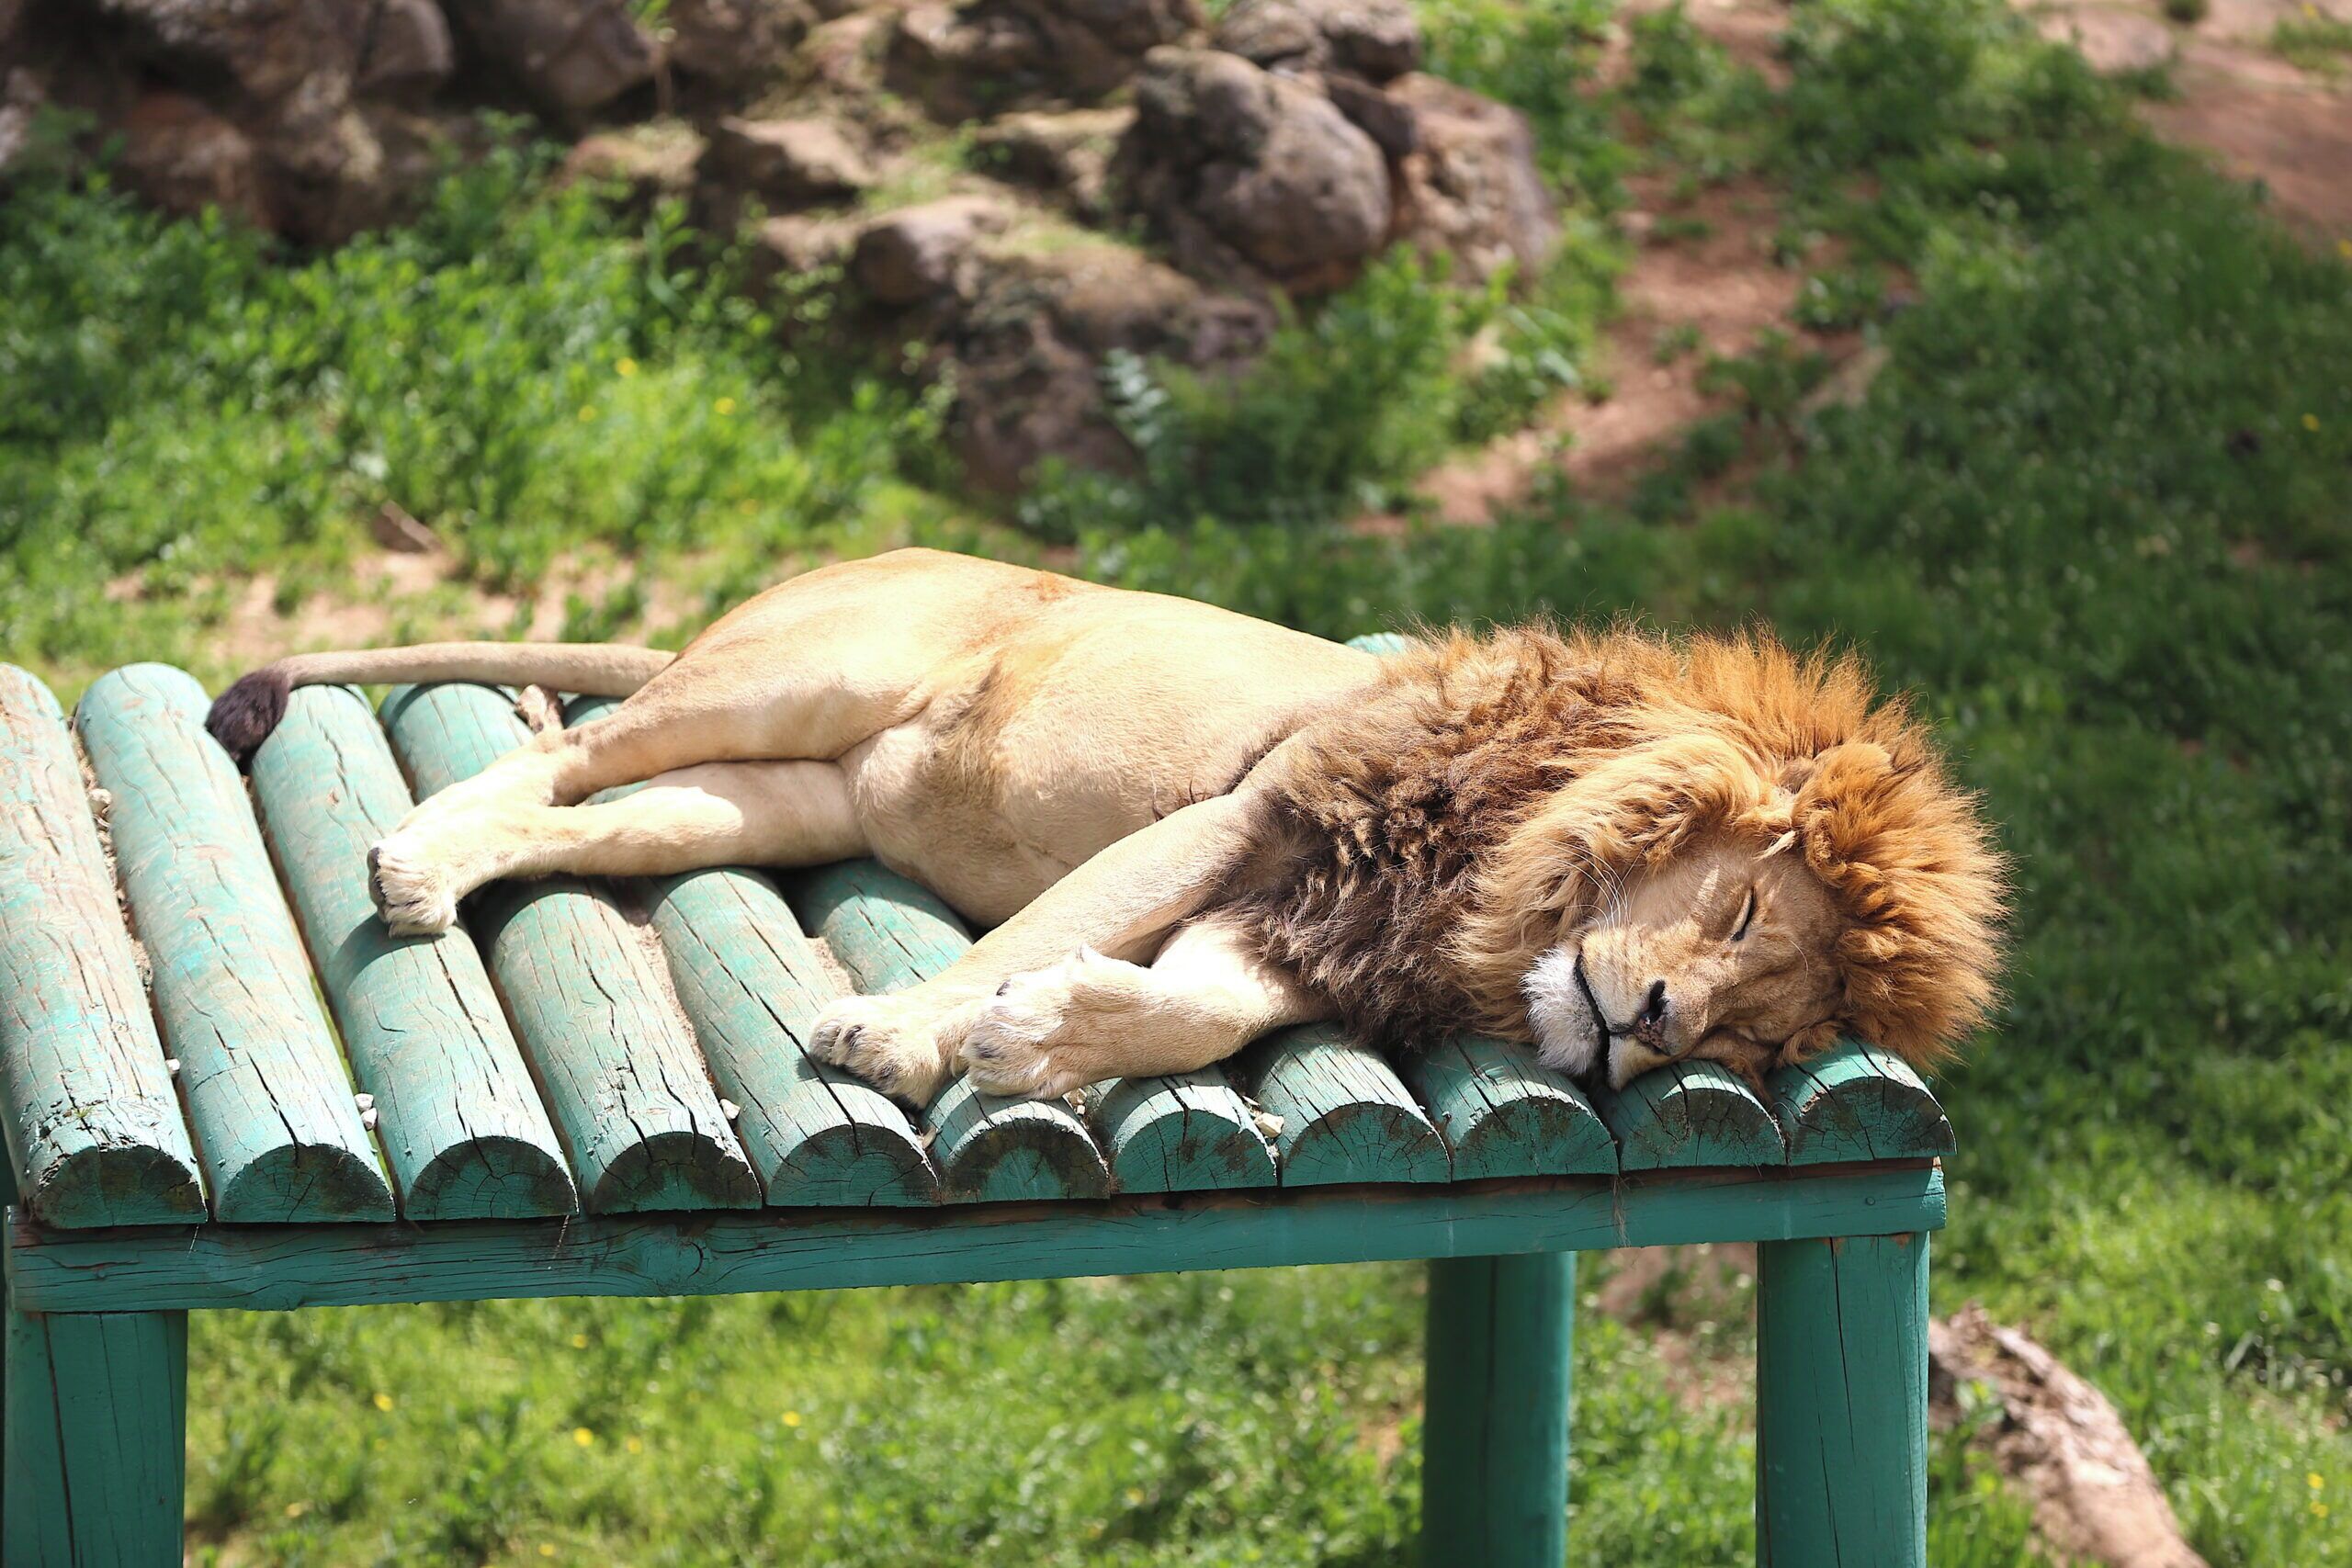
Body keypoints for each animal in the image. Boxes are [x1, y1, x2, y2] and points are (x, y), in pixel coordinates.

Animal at [207, 548, 2004, 1104]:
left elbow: (1190, 1008)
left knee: (603, 813)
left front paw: (1044, 1035)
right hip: (795, 671)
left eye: (1769, 1037)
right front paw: (906, 1032)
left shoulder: (1308, 931)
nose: (1656, 1028)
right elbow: (1044, 921)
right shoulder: (1248, 816)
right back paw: (415, 854)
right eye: (1746, 916)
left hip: (775, 795)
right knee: (567, 753)